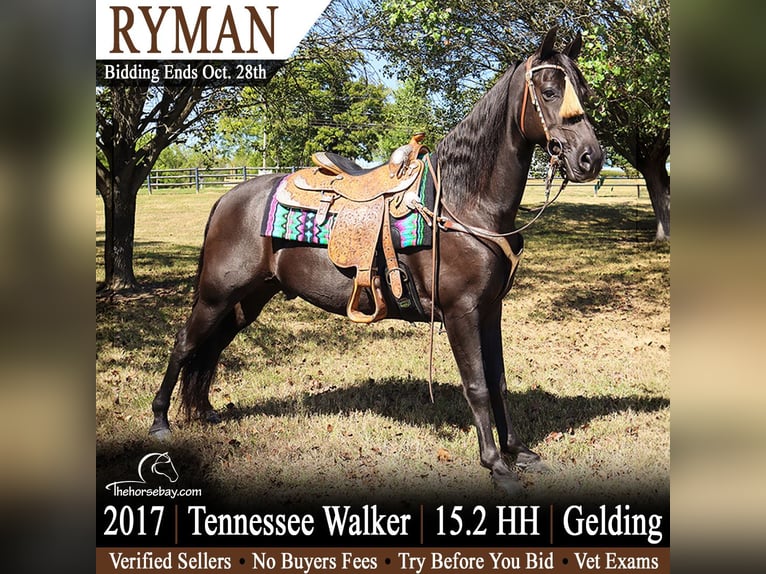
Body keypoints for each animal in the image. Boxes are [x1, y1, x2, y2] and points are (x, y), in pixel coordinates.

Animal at [149, 28, 603, 493]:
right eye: (549, 91)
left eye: (583, 92)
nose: (591, 158)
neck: (464, 204)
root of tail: (227, 198)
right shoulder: (461, 311)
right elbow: (476, 385)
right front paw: (496, 465)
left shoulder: (490, 308)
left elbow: (498, 381)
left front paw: (521, 452)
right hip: (216, 295)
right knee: (185, 344)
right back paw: (161, 422)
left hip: (248, 300)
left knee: (212, 347)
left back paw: (205, 411)